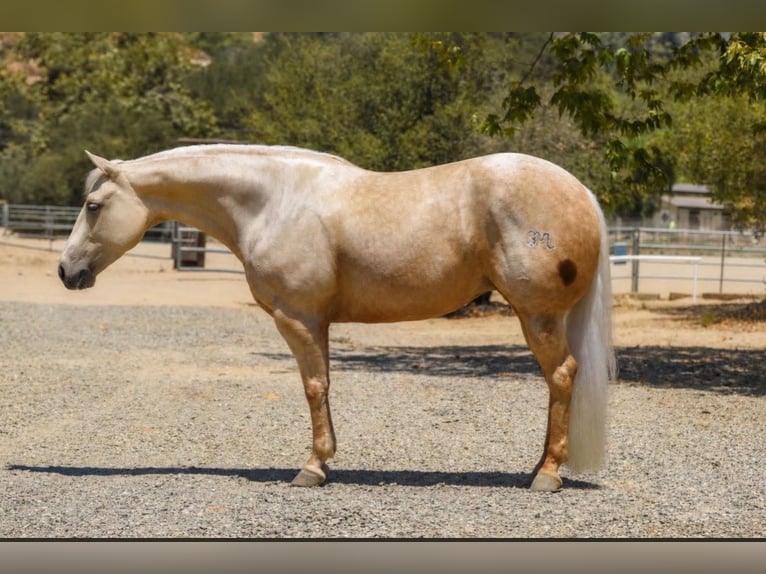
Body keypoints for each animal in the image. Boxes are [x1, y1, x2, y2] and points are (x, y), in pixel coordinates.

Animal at [58, 144, 615, 492]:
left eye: (93, 204)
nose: (66, 271)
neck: (273, 201)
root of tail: (581, 193)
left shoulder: (299, 319)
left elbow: (314, 387)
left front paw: (313, 467)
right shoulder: (316, 322)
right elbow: (323, 385)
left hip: (538, 315)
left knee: (562, 376)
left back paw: (547, 474)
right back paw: (540, 465)